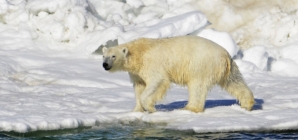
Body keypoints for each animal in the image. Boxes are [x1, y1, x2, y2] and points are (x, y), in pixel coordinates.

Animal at [102, 35, 254, 112]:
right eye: (104, 56)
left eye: (113, 56)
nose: (105, 65)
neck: (138, 52)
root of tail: (225, 55)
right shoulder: (137, 72)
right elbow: (139, 86)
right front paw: (137, 110)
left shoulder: (151, 64)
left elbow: (157, 81)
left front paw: (150, 107)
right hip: (227, 68)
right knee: (234, 81)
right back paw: (247, 103)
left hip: (201, 65)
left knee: (197, 87)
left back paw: (189, 108)